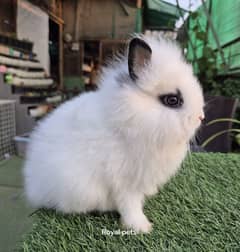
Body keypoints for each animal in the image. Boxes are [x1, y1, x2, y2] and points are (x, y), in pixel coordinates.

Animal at [23, 35, 204, 232]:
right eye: (172, 100)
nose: (200, 117)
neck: (128, 120)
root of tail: (33, 186)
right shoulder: (125, 182)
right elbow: (130, 206)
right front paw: (142, 227)